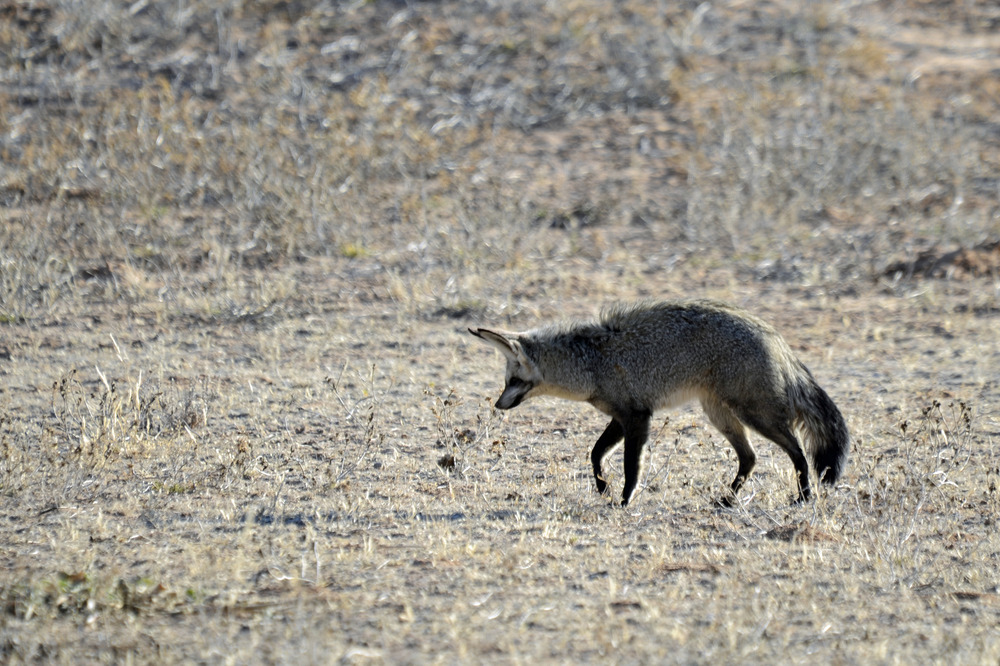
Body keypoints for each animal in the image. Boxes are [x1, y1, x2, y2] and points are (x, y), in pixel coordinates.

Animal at [472, 298, 848, 506]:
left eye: (512, 381)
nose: (498, 406)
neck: (591, 362)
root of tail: (773, 334)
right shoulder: (622, 416)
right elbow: (595, 454)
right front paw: (602, 487)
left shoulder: (638, 417)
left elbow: (631, 467)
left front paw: (624, 500)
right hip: (721, 416)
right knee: (750, 458)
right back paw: (727, 500)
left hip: (753, 414)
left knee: (798, 452)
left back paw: (803, 497)